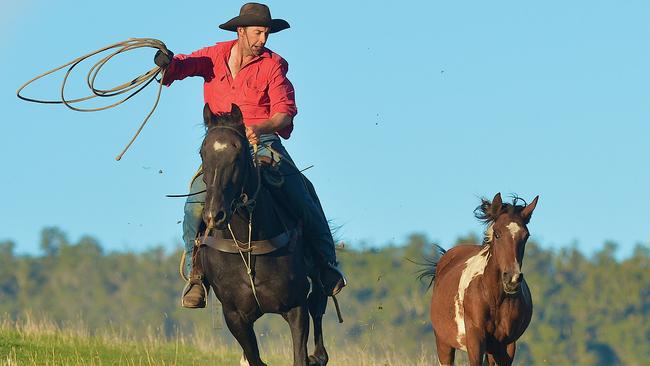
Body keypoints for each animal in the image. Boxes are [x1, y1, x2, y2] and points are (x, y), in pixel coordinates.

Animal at [195, 103, 330, 366]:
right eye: (202, 153)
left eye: (238, 154)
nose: (214, 215)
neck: (247, 245)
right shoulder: (235, 316)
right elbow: (255, 358)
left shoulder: (296, 307)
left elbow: (299, 356)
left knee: (318, 309)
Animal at [420, 193, 536, 364]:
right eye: (497, 234)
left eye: (526, 236)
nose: (512, 279)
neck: (493, 298)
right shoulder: (475, 339)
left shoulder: (507, 345)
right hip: (443, 343)